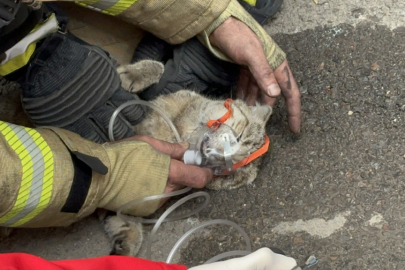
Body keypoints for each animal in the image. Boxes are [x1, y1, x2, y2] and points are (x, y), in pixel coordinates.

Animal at [102, 59, 272, 258]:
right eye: (239, 137)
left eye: (228, 172)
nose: (217, 154)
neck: (182, 130)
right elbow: (159, 67)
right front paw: (129, 74)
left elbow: (123, 205)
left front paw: (126, 244)